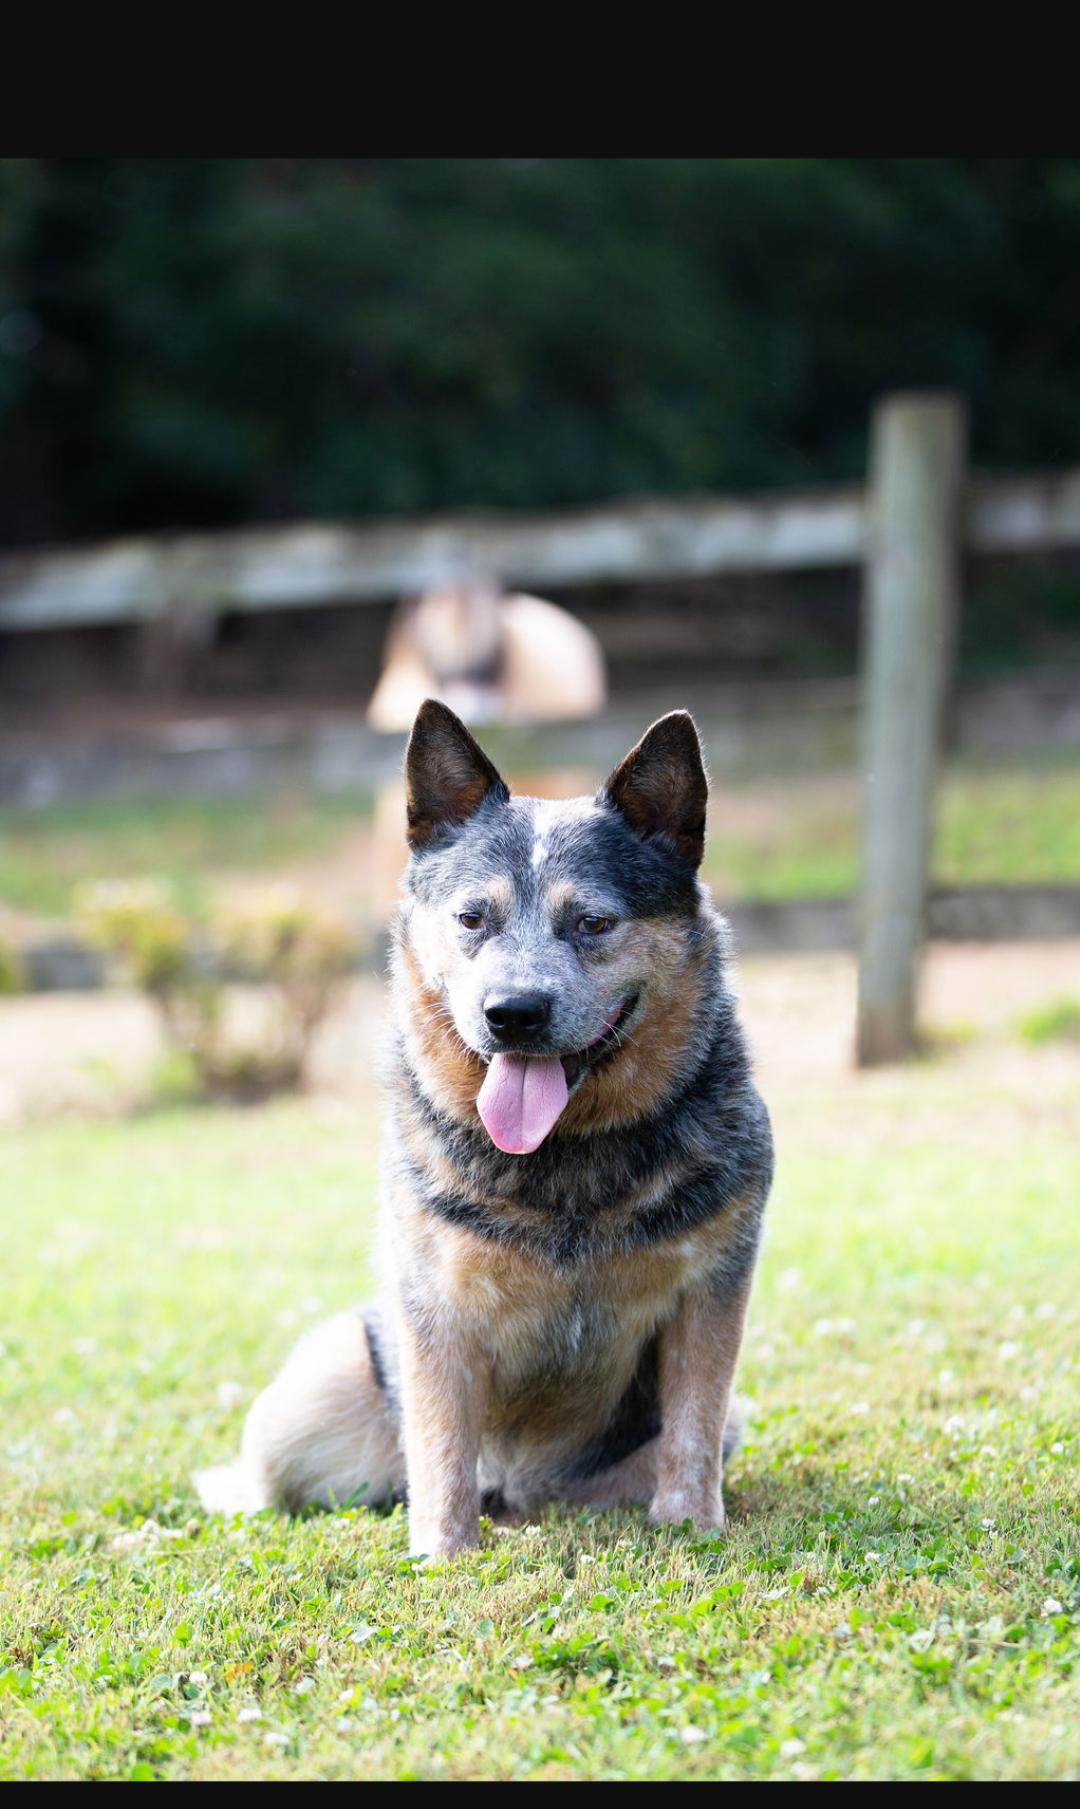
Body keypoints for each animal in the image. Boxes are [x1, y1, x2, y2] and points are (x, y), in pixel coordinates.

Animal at [197, 701, 774, 1557]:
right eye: (472, 917)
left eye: (592, 921)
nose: (514, 1012)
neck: (566, 1161)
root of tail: (521, 1487)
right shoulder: (436, 1301)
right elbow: (441, 1442)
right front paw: (442, 1553)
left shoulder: (711, 1285)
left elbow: (694, 1425)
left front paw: (690, 1523)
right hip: (304, 1400)